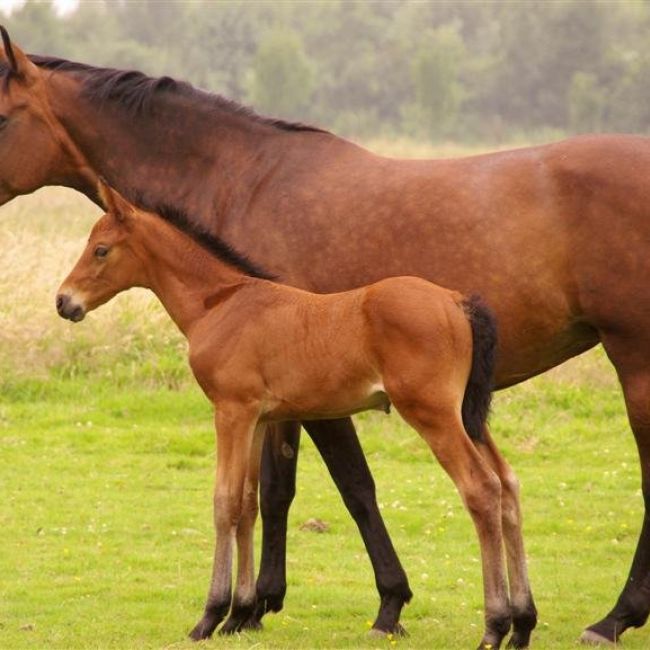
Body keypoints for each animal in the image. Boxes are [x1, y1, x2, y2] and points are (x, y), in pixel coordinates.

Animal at [55, 184, 506, 648]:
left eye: (101, 249)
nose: (63, 301)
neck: (220, 304)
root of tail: (457, 301)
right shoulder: (258, 419)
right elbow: (247, 503)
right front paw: (239, 614)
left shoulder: (231, 412)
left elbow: (224, 502)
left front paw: (210, 615)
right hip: (466, 417)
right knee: (507, 485)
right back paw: (519, 620)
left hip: (434, 414)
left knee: (482, 488)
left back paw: (496, 626)